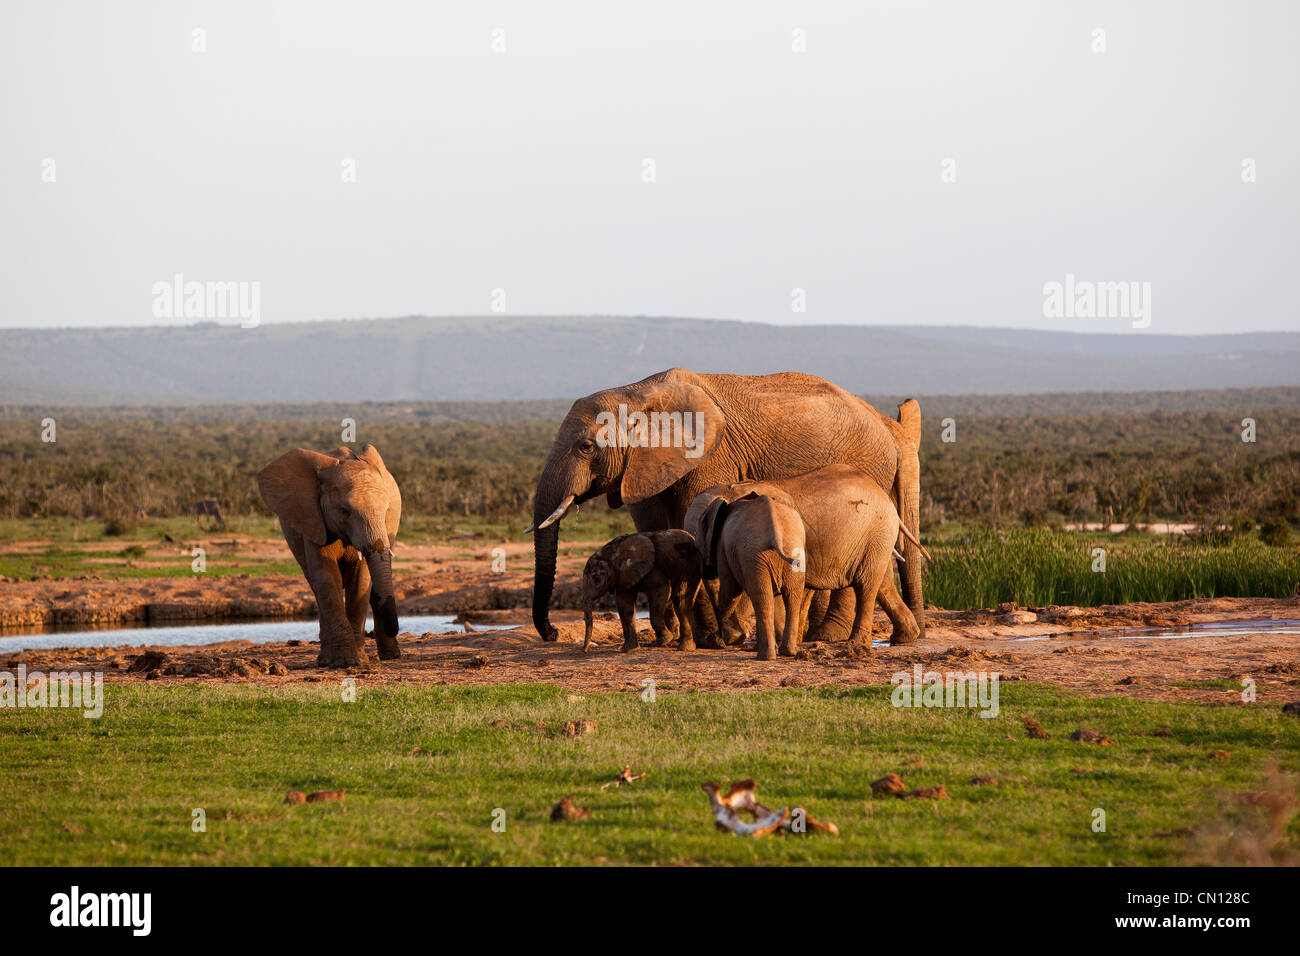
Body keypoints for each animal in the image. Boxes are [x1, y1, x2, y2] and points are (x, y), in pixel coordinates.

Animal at [257, 444, 400, 671]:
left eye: (386, 510)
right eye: (345, 511)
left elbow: (362, 580)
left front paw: (359, 661)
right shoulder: (313, 520)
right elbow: (326, 578)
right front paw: (345, 662)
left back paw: (391, 656)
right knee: (317, 588)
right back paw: (324, 661)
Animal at [696, 494, 806, 658]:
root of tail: (776, 531)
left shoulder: (722, 546)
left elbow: (730, 589)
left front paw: (727, 639)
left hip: (753, 554)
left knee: (761, 597)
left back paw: (764, 656)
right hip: (793, 551)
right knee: (791, 596)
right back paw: (788, 652)